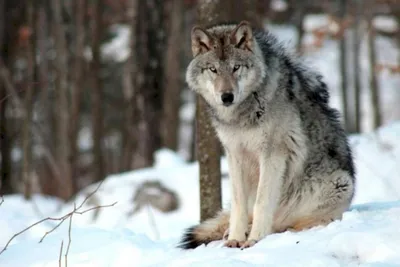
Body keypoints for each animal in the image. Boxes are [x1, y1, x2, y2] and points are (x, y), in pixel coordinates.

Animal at [180, 21, 354, 251]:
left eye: (236, 67)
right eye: (213, 69)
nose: (227, 97)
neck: (241, 116)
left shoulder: (272, 154)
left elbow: (261, 201)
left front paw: (254, 240)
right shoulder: (234, 154)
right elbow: (239, 203)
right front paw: (235, 238)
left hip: (338, 183)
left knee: (293, 223)